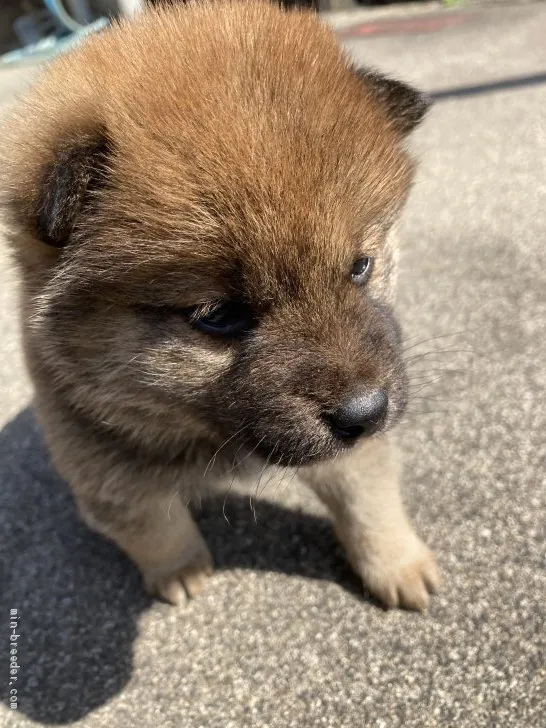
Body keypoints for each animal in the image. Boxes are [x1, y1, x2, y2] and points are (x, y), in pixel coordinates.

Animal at [1, 1, 438, 608]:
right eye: (218, 317)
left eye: (360, 267)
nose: (365, 412)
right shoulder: (108, 469)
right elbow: (156, 529)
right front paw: (179, 572)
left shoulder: (355, 455)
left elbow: (368, 501)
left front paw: (397, 564)